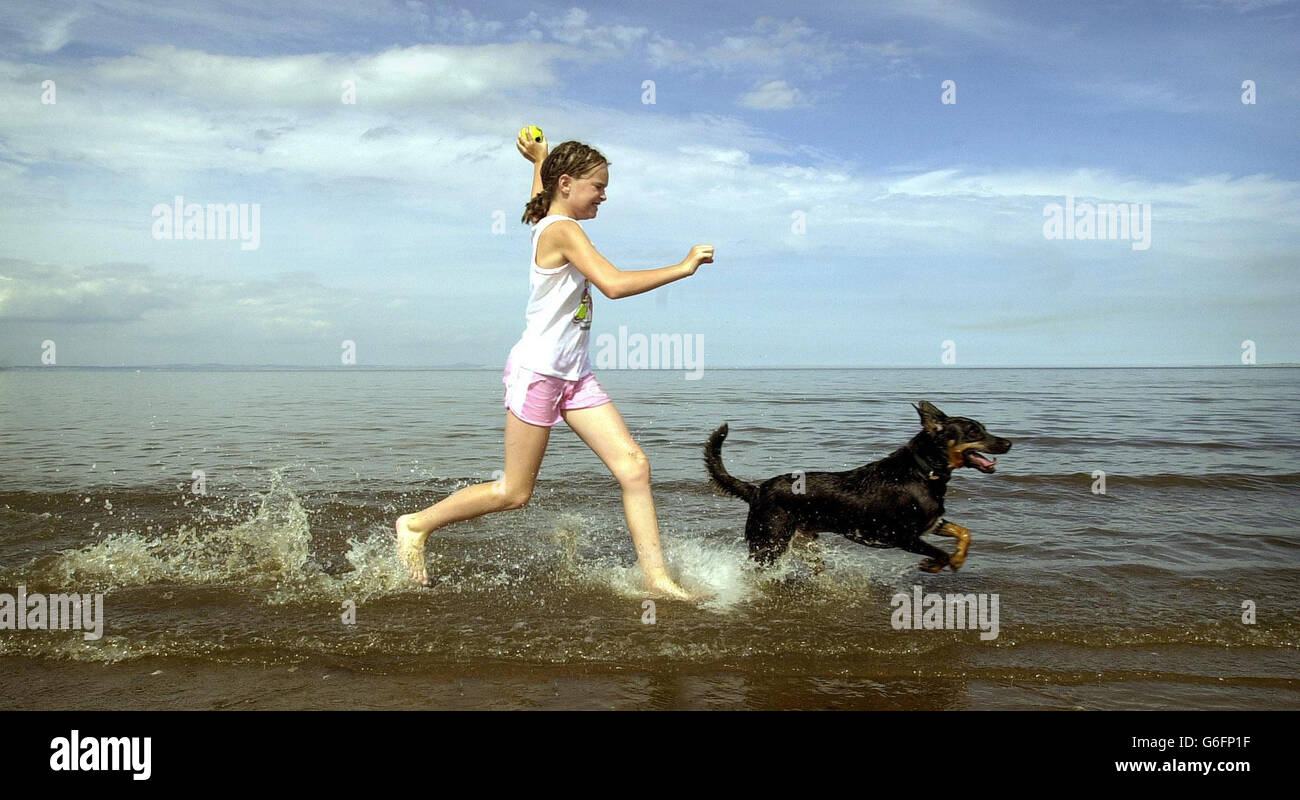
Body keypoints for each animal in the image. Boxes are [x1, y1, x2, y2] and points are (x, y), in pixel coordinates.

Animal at [707, 403, 1008, 572]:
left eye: (983, 428)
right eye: (973, 432)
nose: (1008, 442)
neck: (923, 470)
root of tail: (756, 490)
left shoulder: (931, 524)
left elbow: (965, 532)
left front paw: (958, 560)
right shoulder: (904, 537)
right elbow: (940, 552)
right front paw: (935, 565)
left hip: (804, 543)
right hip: (769, 543)